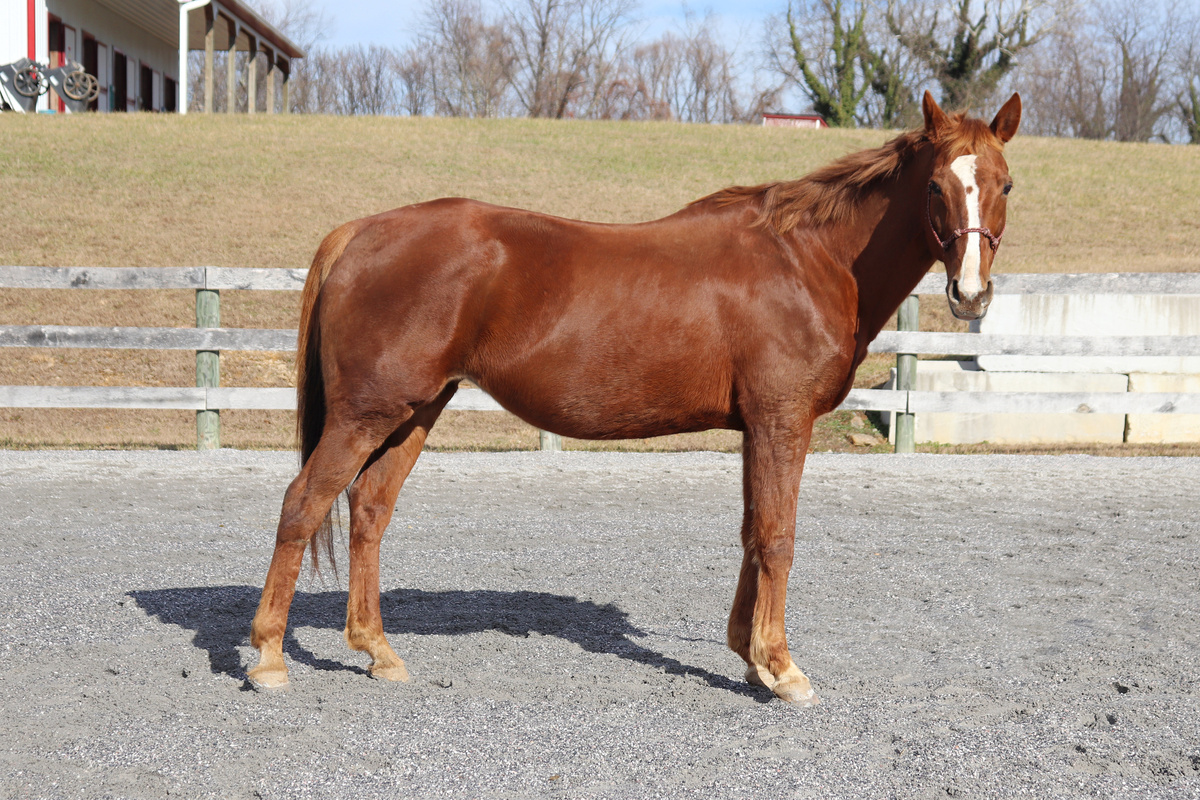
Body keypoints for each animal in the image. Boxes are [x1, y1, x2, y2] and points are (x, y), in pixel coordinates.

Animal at [248, 91, 1022, 705]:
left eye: (1005, 185)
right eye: (936, 187)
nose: (971, 295)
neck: (808, 259)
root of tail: (359, 232)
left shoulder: (755, 428)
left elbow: (751, 531)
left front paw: (747, 656)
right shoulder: (782, 421)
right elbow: (778, 537)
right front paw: (782, 668)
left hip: (415, 411)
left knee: (368, 510)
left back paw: (377, 651)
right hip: (365, 414)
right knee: (303, 504)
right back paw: (268, 658)